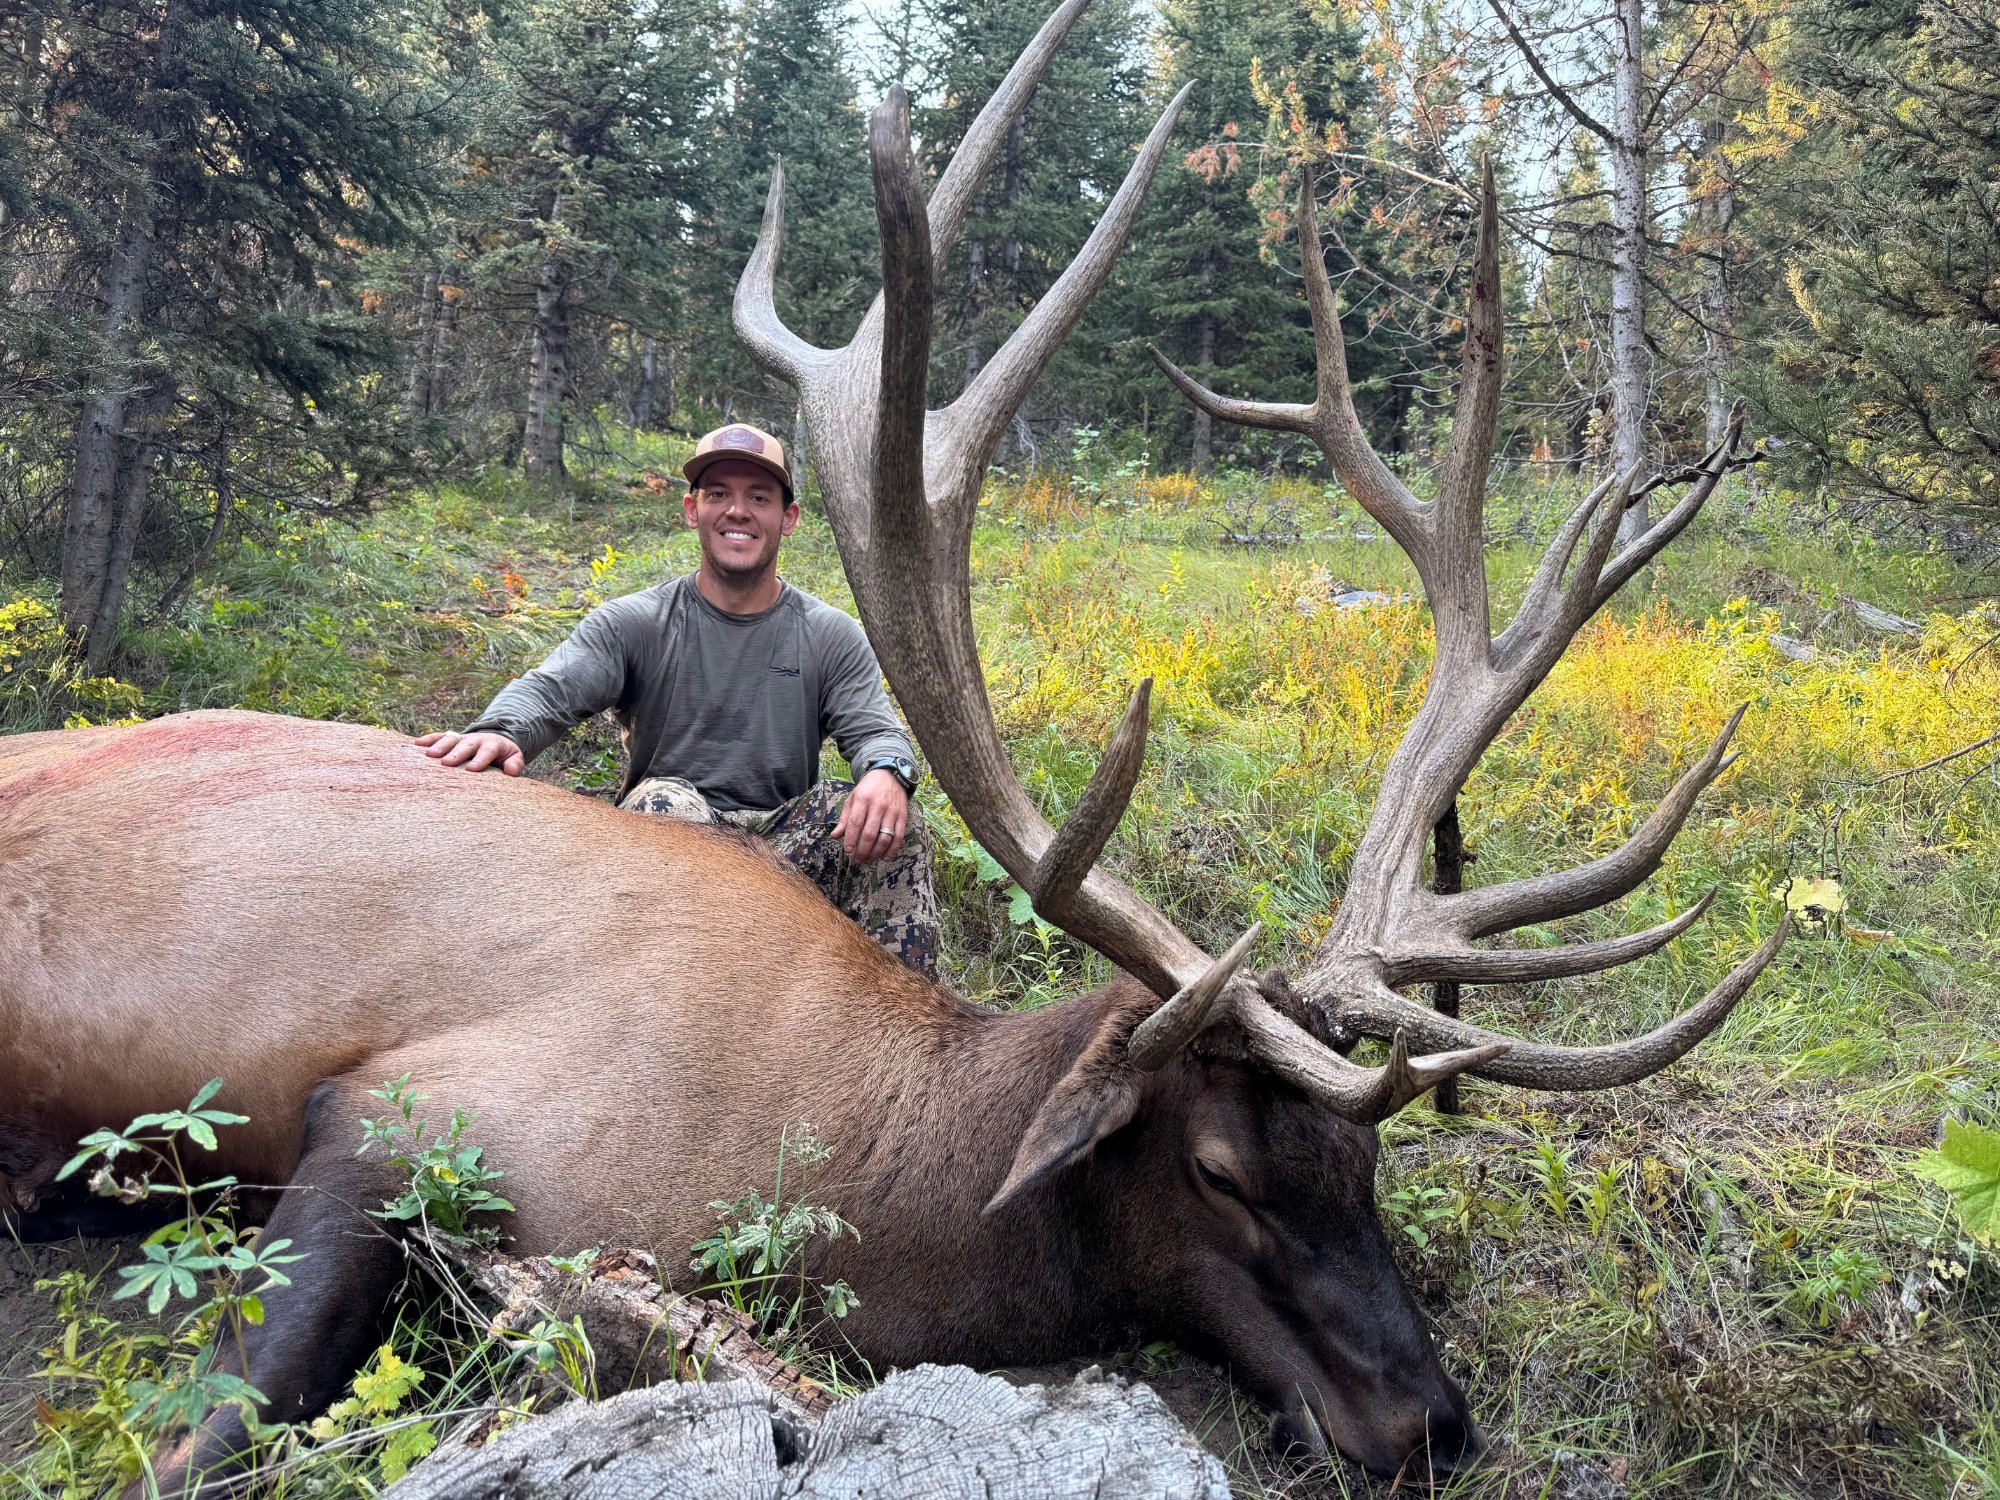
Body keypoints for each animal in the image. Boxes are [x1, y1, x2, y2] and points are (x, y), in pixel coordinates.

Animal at [1, 1, 1782, 1492]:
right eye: (1219, 1172)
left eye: (1370, 1168)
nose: (1434, 1424)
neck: (866, 1186)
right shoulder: (402, 1120)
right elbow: (216, 1431)